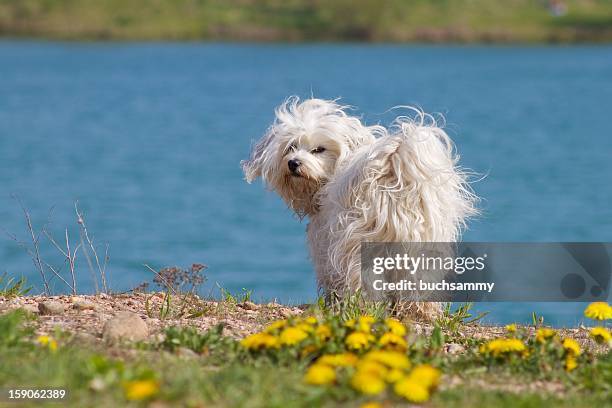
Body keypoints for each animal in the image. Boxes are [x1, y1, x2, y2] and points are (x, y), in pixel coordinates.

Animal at [241, 97, 476, 320]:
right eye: (291, 147)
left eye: (319, 149)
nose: (293, 163)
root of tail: (390, 173)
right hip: (420, 243)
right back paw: (420, 311)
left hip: (358, 241)